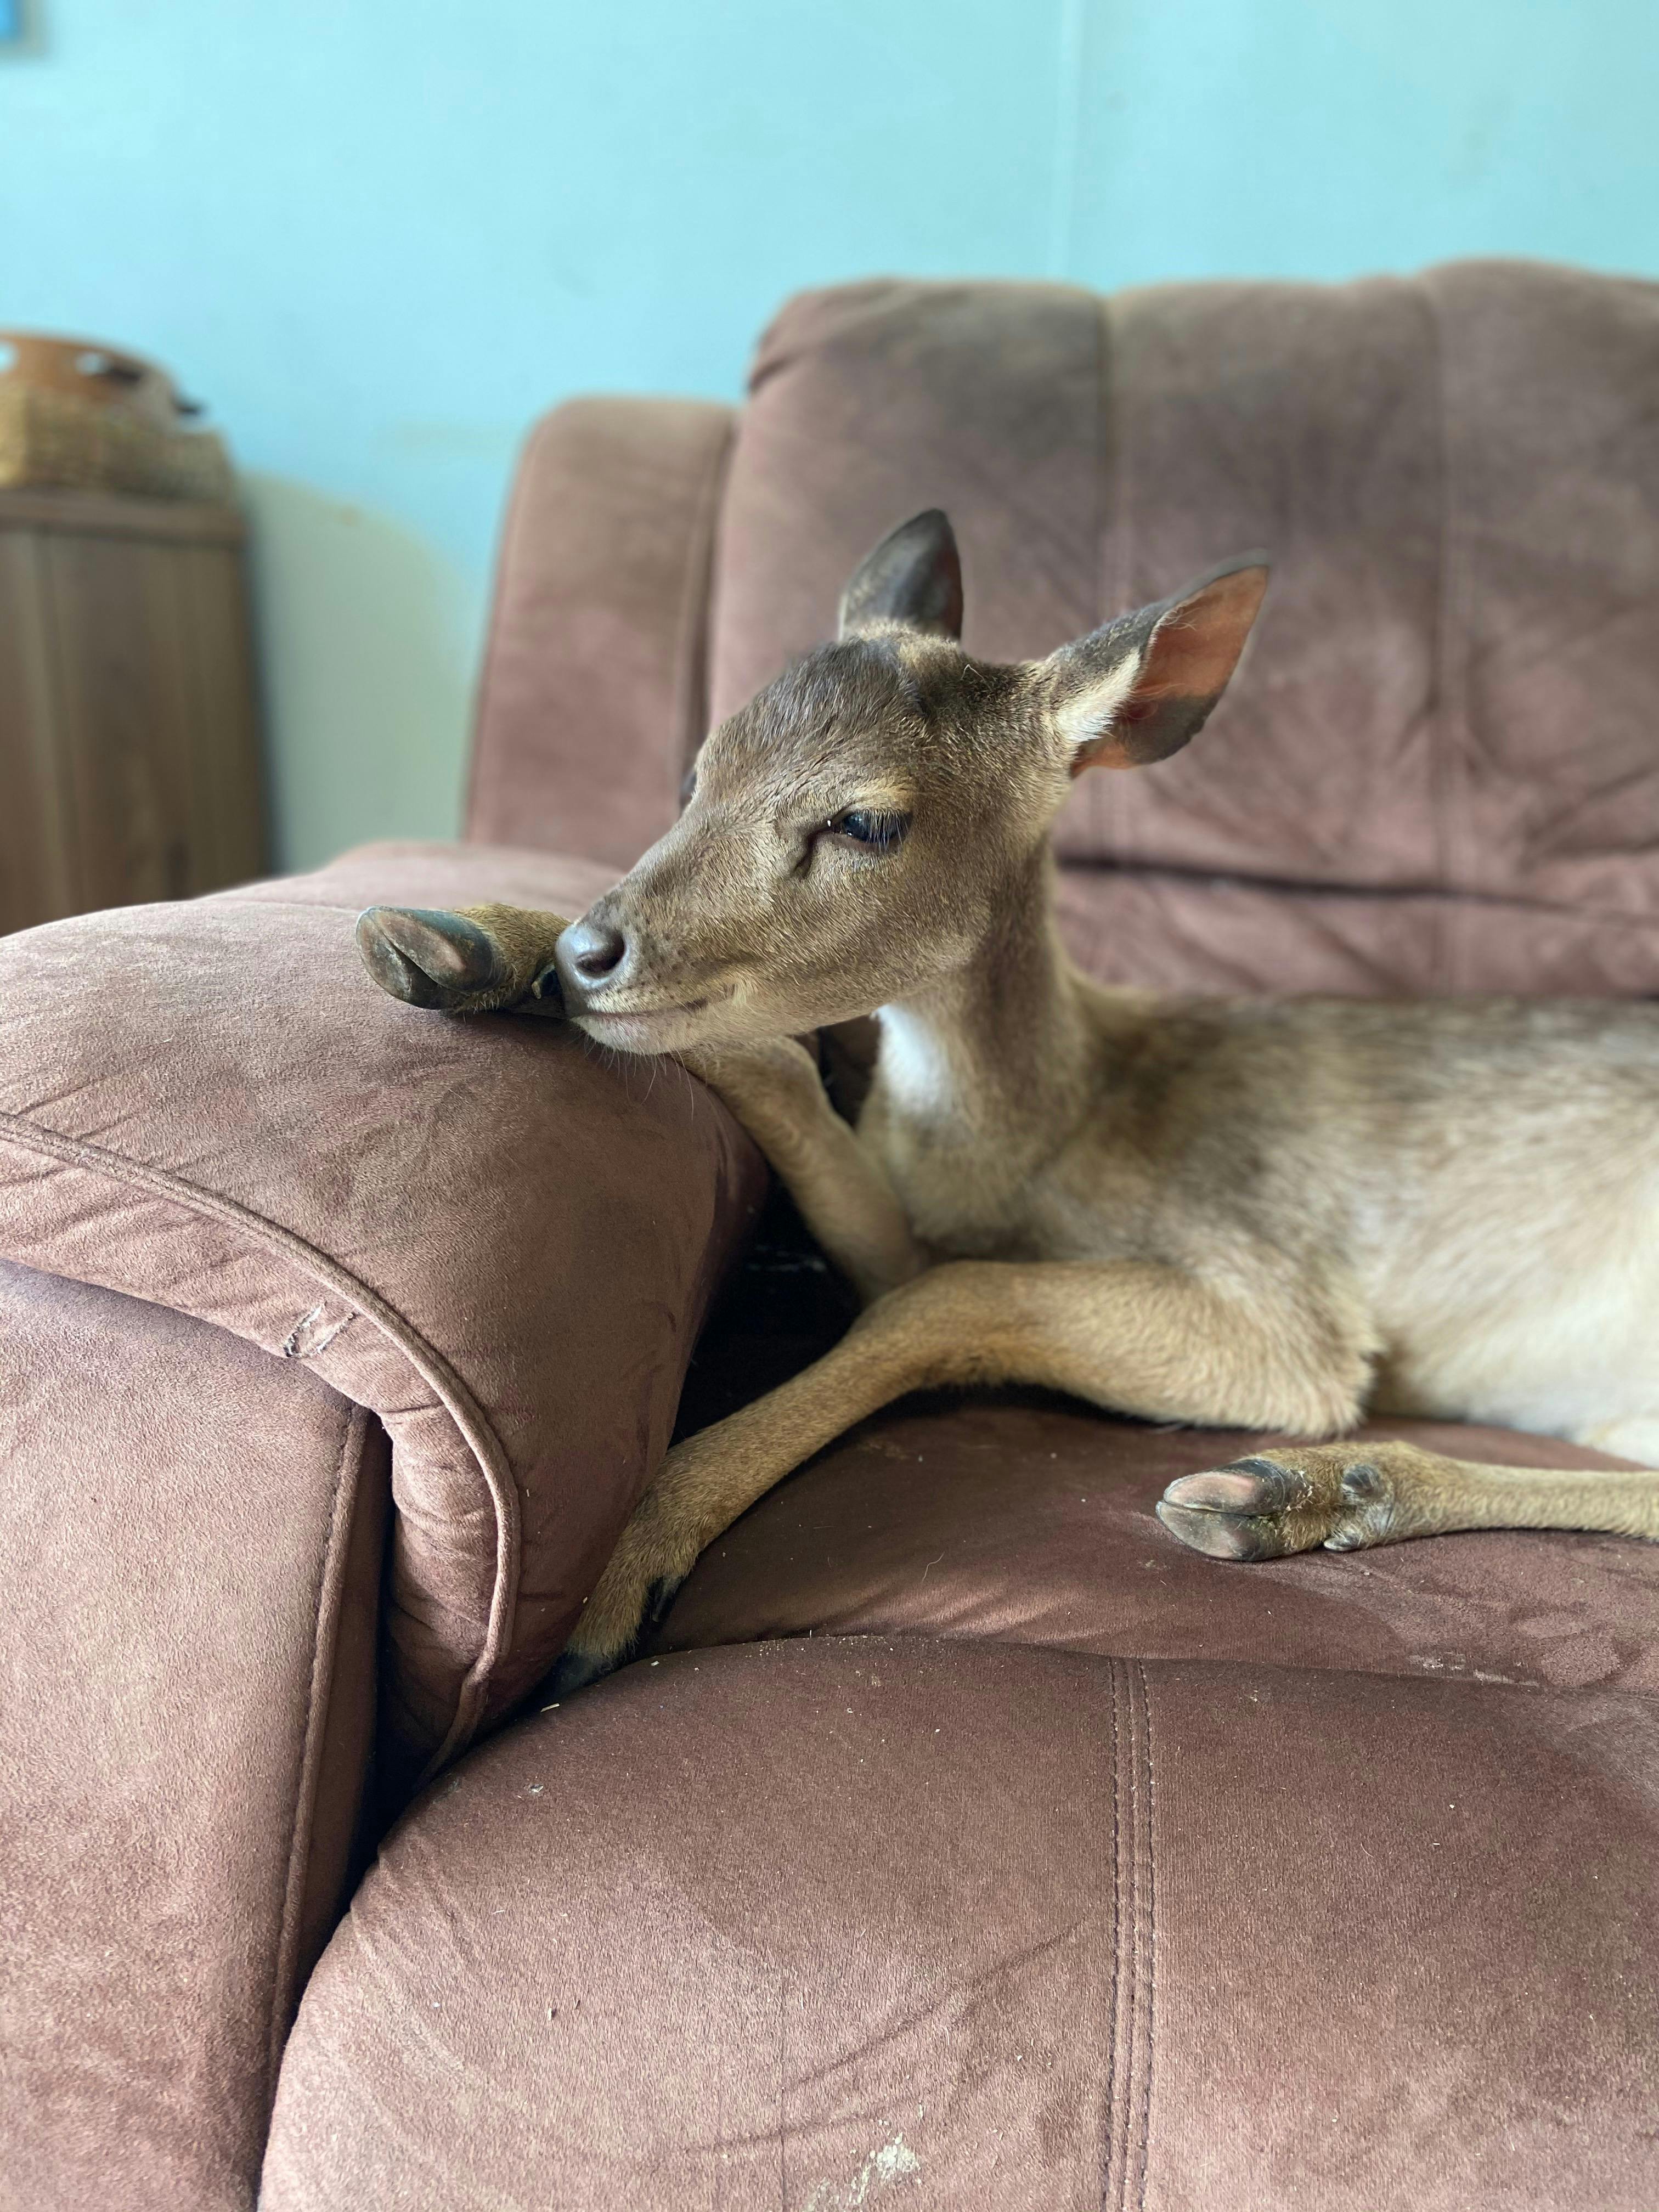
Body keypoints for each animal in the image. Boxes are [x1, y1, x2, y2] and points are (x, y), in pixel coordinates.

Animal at [356, 510, 1659, 1696]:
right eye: (694, 773)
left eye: (867, 820)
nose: (593, 951)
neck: (1042, 1135)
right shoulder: (907, 1218)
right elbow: (815, 1120)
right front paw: (466, 942)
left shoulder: (1278, 1307)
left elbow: (943, 1298)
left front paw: (624, 1573)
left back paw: (1293, 1487)